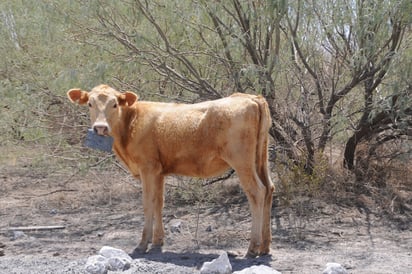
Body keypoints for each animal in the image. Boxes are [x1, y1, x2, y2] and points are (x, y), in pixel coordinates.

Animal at [67, 84, 274, 258]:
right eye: (90, 103)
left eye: (115, 104)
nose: (100, 128)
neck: (131, 123)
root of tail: (250, 97)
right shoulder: (159, 172)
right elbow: (159, 203)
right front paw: (158, 241)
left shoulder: (148, 168)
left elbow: (148, 204)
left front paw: (142, 244)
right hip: (261, 159)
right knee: (269, 188)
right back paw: (264, 247)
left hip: (241, 161)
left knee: (257, 192)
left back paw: (252, 248)